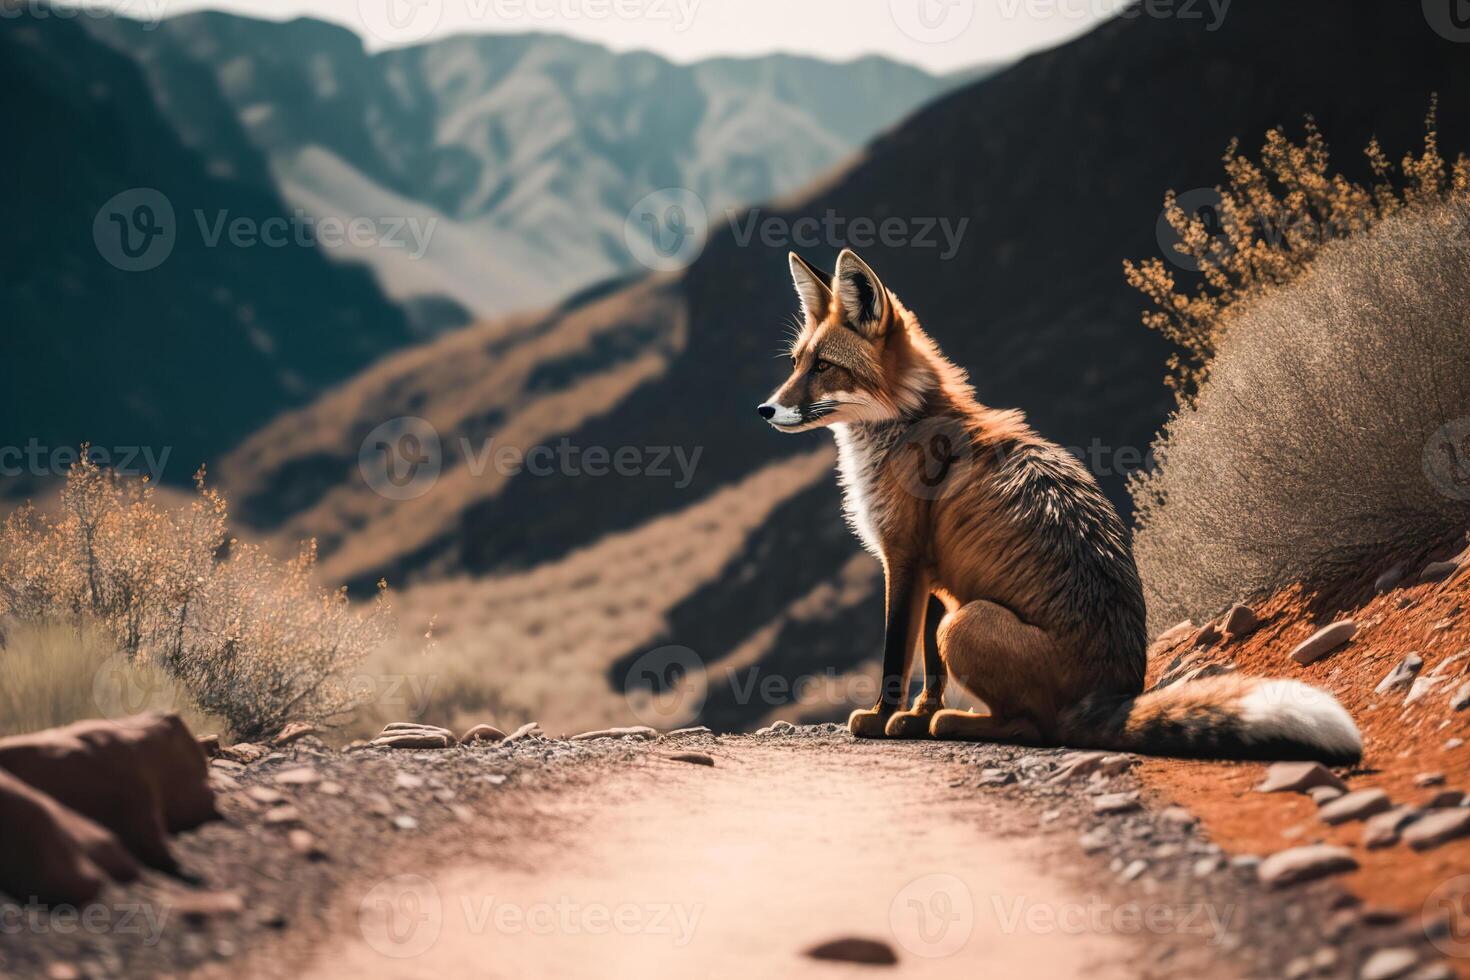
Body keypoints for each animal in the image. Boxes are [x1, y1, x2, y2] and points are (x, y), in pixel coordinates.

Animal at [764, 246, 1358, 764]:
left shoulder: (904, 560)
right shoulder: (931, 571)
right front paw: (912, 717)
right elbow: (929, 671)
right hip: (958, 613)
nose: (765, 409)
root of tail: (1114, 690)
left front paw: (883, 717)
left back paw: (957, 723)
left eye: (824, 367)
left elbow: (894, 656)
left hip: (966, 621)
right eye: (796, 362)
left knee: (1033, 727)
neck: (908, 423)